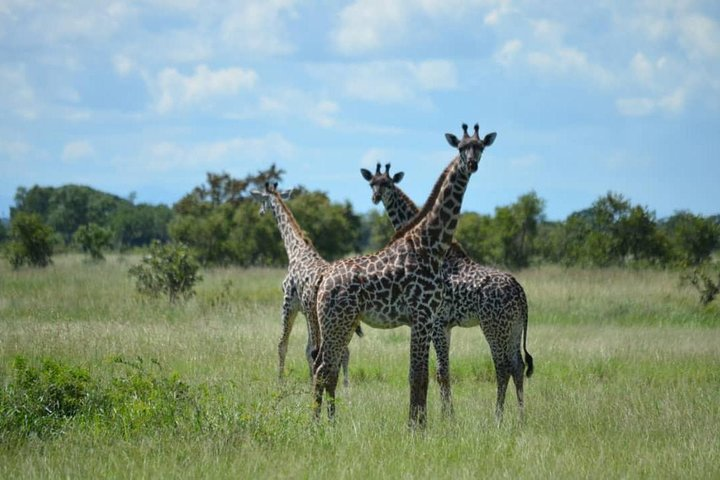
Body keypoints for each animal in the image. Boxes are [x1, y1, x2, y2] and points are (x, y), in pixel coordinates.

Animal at [250, 183, 361, 387]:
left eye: (261, 199)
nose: (260, 212)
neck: (295, 250)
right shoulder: (306, 311)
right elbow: (308, 349)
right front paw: (311, 380)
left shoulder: (289, 303)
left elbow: (284, 345)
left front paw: (280, 381)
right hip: (343, 319)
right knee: (343, 351)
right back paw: (345, 386)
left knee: (328, 351)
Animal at [313, 123, 495, 427]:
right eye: (460, 147)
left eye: (480, 147)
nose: (472, 164)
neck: (431, 245)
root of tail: (324, 280)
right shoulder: (422, 317)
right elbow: (419, 376)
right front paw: (416, 427)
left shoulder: (427, 320)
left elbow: (421, 375)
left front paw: (420, 424)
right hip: (336, 323)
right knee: (322, 370)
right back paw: (318, 425)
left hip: (342, 324)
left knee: (325, 369)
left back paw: (328, 422)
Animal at [361, 163, 534, 423]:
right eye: (372, 183)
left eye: (388, 184)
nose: (375, 197)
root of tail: (519, 291)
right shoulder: (445, 326)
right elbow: (442, 370)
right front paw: (446, 415)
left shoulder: (436, 323)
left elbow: (441, 371)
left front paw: (447, 417)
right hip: (513, 327)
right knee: (518, 366)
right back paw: (521, 417)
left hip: (494, 326)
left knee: (502, 367)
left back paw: (498, 417)